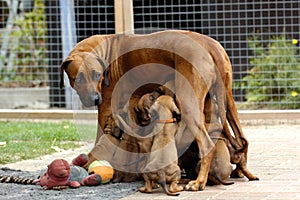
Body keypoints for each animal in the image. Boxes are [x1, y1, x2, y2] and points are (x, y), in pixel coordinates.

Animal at [60, 29, 258, 191]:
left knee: (207, 144)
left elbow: (99, 140)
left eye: (97, 75)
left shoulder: (106, 107)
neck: (104, 50)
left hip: (188, 102)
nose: (93, 99)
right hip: (227, 98)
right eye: (77, 78)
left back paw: (199, 182)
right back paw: (241, 171)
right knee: (242, 140)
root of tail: (211, 45)